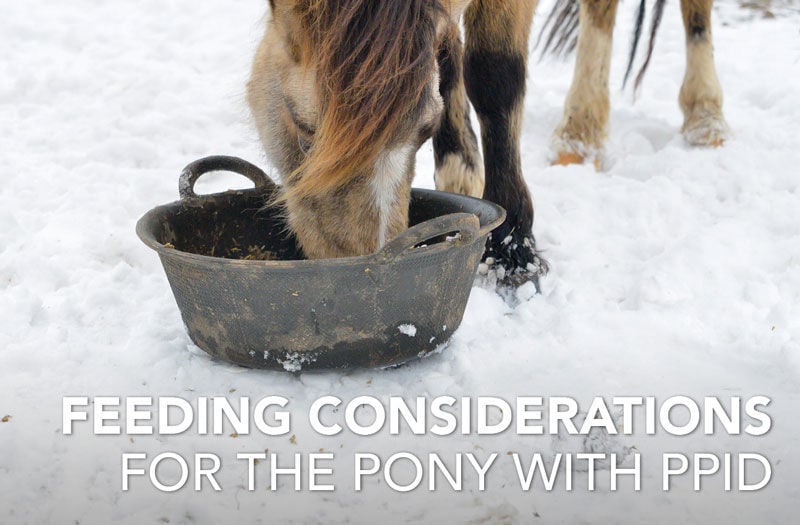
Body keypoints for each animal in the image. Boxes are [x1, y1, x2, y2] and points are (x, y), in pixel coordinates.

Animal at [246, 0, 728, 287]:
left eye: (423, 130)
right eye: (303, 126)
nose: (364, 264)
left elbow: (495, 75)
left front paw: (512, 248)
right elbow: (445, 53)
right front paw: (462, 173)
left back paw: (703, 115)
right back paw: (579, 134)